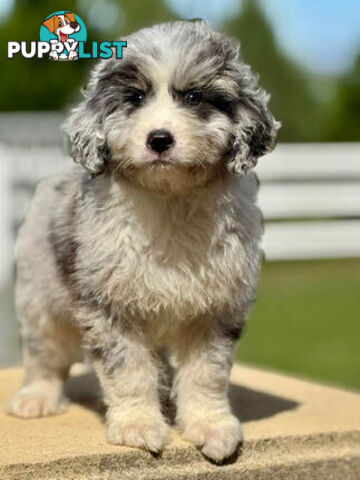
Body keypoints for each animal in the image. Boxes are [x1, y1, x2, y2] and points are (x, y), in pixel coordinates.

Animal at [7, 20, 278, 464]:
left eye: (194, 97)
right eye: (135, 98)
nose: (159, 139)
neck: (169, 201)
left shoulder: (217, 307)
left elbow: (207, 372)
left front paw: (211, 427)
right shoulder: (110, 304)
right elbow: (128, 370)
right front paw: (138, 427)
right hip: (39, 293)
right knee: (45, 352)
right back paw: (37, 398)